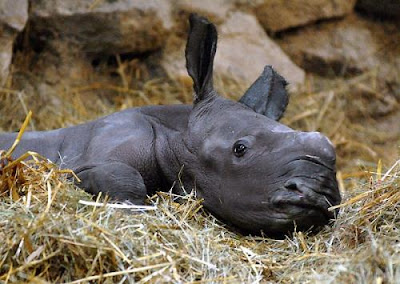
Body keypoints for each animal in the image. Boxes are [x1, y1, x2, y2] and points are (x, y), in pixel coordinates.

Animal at [0, 15, 340, 237]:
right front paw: (135, 208)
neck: (176, 131)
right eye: (240, 149)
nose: (320, 191)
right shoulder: (85, 161)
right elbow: (122, 176)